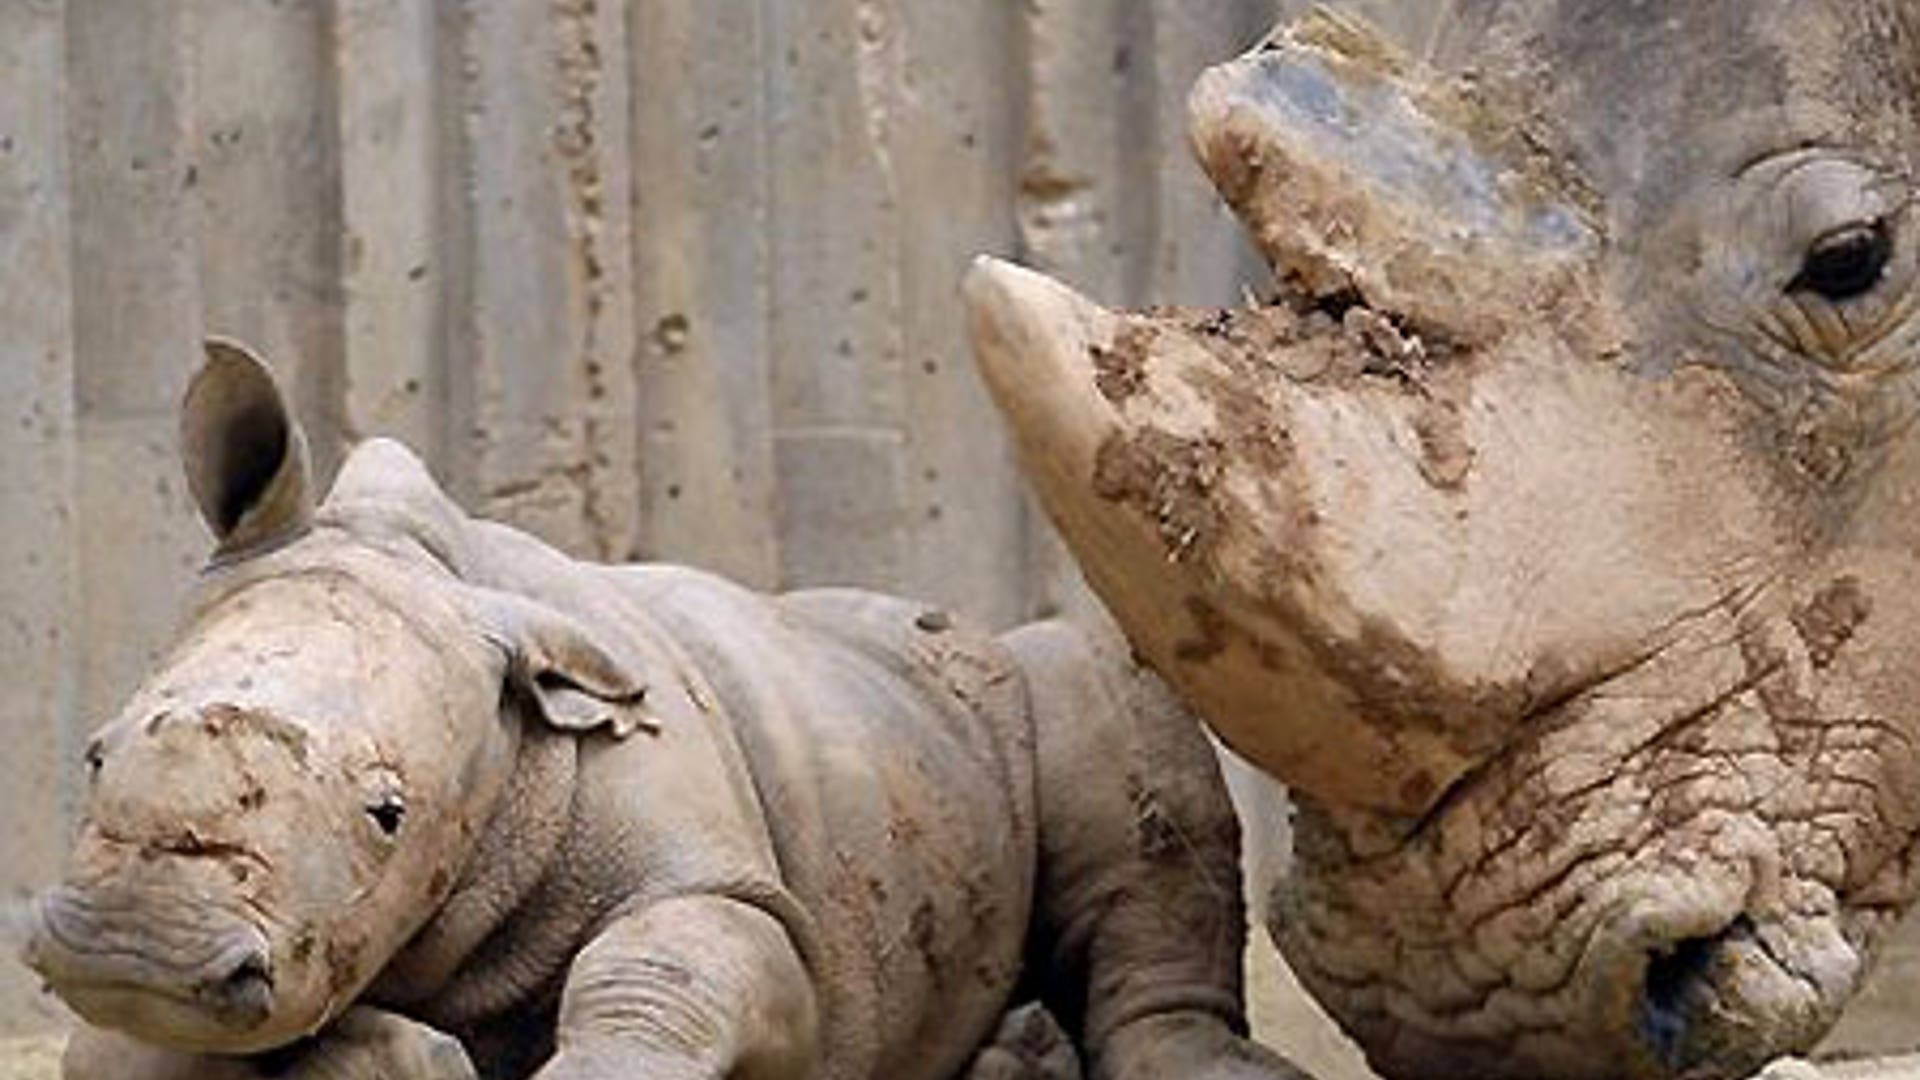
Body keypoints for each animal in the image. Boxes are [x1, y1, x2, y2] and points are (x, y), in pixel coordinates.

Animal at [19, 341, 1303, 1080]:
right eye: (92, 756)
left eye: (389, 813)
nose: (135, 946)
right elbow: (128, 1051)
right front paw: (396, 1059)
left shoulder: (736, 891)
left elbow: (666, 963)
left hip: (1034, 678)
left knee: (1108, 696)